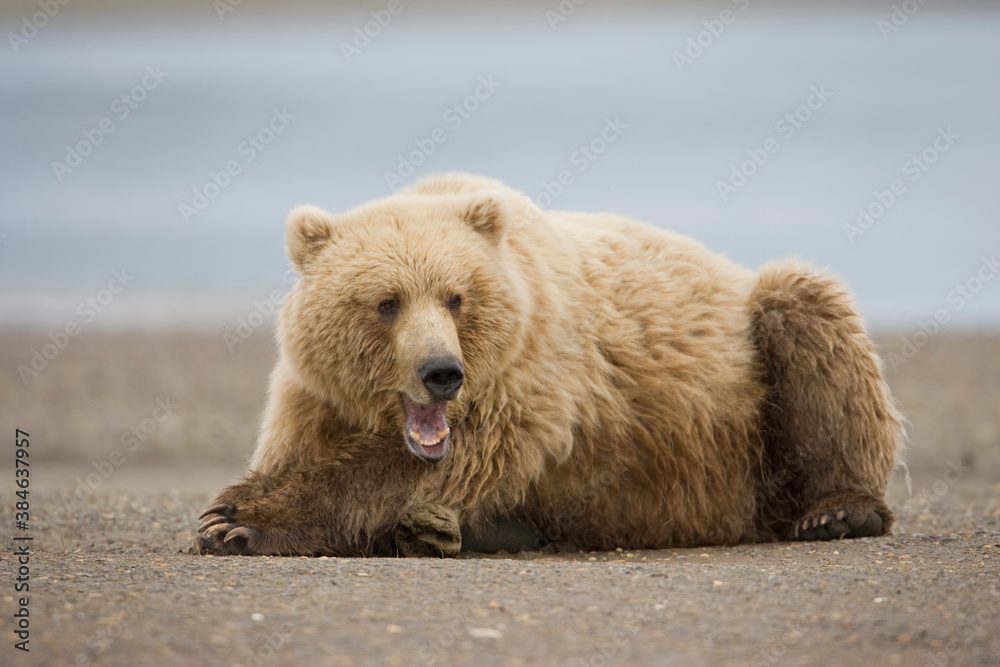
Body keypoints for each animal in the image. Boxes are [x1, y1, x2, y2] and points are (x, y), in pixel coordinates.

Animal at [197, 172, 904, 557]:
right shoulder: (315, 399)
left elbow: (440, 461)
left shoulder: (525, 381)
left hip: (747, 390)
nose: (441, 372)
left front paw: (238, 520)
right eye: (386, 302)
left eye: (456, 297)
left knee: (806, 312)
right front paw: (232, 512)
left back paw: (839, 510)